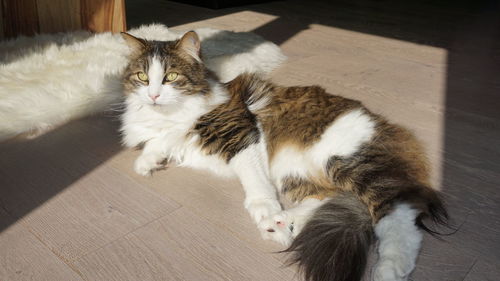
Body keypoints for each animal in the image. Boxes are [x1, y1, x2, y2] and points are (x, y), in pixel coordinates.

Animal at [119, 30, 448, 280]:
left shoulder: (242, 133)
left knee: (400, 210)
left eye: (171, 76)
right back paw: (282, 223)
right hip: (297, 173)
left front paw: (262, 207)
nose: (153, 95)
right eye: (142, 77)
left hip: (346, 161)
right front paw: (148, 163)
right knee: (326, 198)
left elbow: (255, 185)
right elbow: (160, 140)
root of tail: (388, 126)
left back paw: (390, 268)